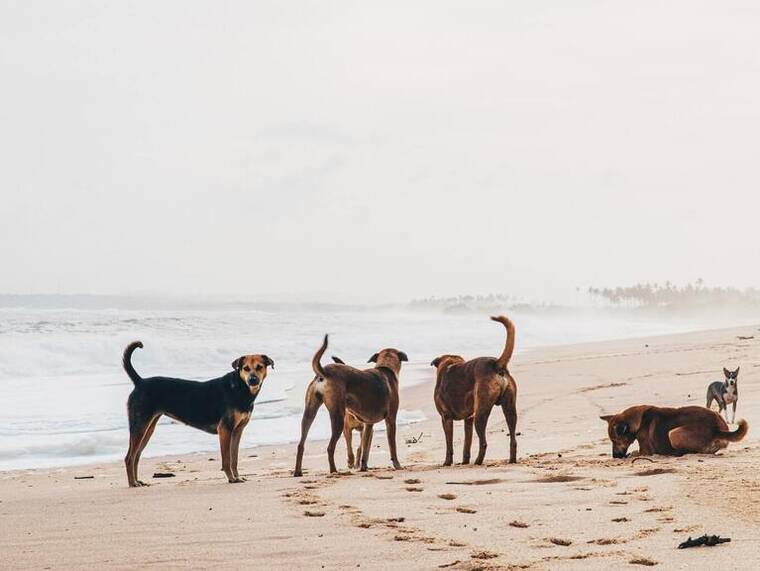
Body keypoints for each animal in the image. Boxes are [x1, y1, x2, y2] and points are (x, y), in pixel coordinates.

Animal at [124, 342, 276, 490]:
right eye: (245, 368)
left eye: (259, 367)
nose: (252, 379)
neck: (240, 387)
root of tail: (140, 381)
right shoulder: (225, 430)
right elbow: (226, 459)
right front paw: (231, 478)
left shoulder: (237, 431)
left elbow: (234, 458)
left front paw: (237, 477)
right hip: (140, 426)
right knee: (129, 457)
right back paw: (132, 483)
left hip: (148, 428)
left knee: (137, 455)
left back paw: (137, 481)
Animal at [292, 336, 410, 478]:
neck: (385, 367)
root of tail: (324, 372)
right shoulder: (391, 420)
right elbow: (392, 445)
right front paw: (397, 464)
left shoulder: (368, 425)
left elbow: (365, 448)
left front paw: (364, 466)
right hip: (339, 417)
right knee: (330, 447)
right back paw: (334, 471)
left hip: (309, 411)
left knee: (301, 443)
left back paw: (298, 472)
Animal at [430, 316, 520, 466]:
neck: (449, 364)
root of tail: (496, 364)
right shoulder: (468, 419)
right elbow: (467, 443)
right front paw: (464, 461)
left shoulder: (446, 417)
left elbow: (449, 444)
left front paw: (447, 462)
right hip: (510, 409)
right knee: (513, 439)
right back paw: (511, 459)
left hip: (481, 413)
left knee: (483, 442)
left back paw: (478, 461)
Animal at [600, 404, 748, 458]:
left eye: (615, 440)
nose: (615, 456)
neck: (639, 420)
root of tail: (716, 428)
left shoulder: (645, 451)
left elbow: (636, 452)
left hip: (673, 433)